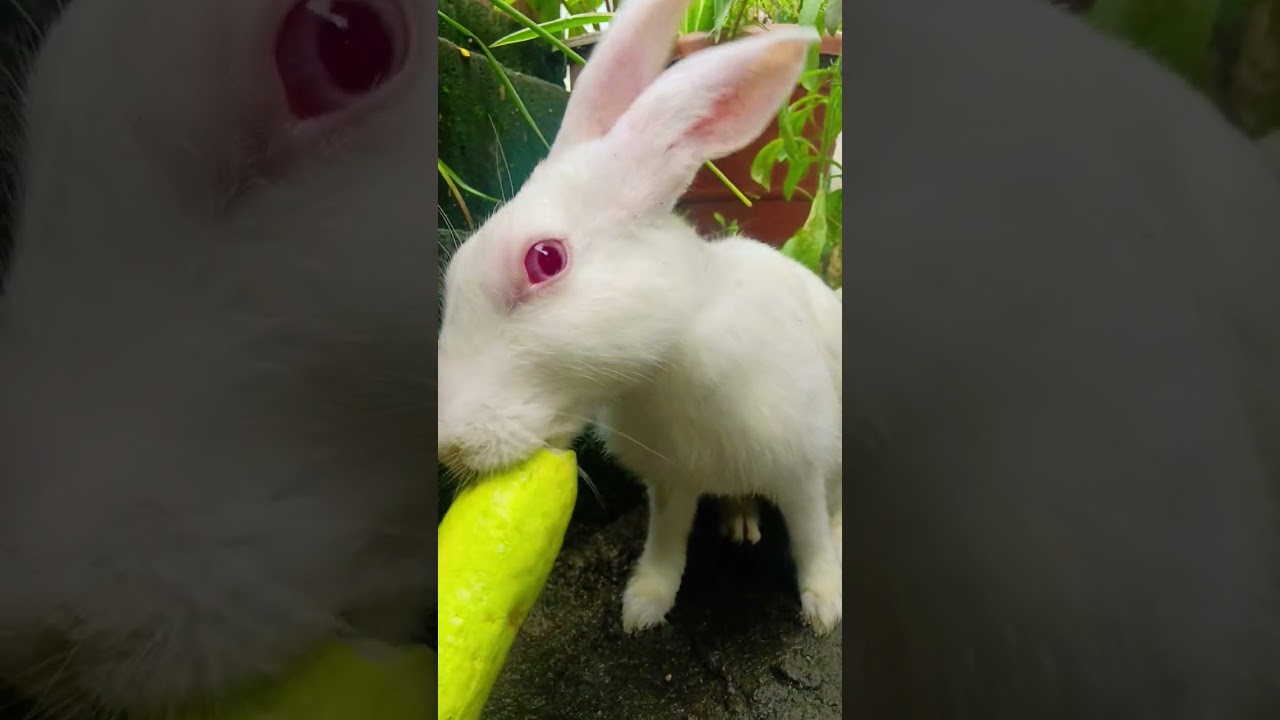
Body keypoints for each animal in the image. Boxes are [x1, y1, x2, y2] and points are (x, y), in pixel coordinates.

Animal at [435, 0, 843, 637]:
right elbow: (666, 539)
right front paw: (644, 605)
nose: (447, 446)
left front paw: (824, 605)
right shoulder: (671, 480)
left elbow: (809, 536)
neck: (665, 367)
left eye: (544, 259)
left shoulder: (800, 465)